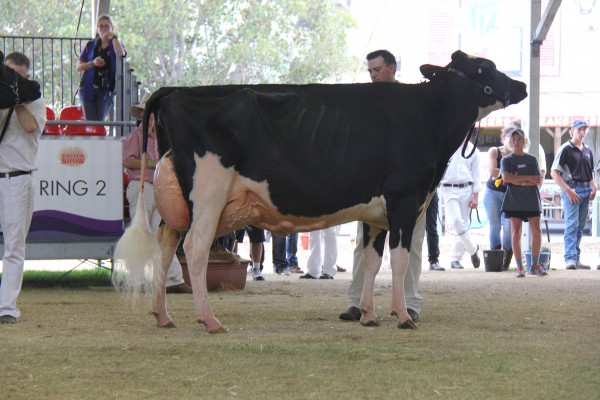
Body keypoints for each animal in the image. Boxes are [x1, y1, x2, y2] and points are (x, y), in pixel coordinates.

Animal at [112, 50, 524, 332]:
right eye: (484, 69)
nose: (520, 85)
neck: (428, 116)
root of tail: (176, 92)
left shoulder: (377, 213)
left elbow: (371, 261)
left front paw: (369, 315)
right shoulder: (405, 202)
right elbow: (400, 261)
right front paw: (403, 317)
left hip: (178, 201)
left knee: (166, 245)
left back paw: (163, 315)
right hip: (208, 193)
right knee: (195, 249)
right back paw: (209, 320)